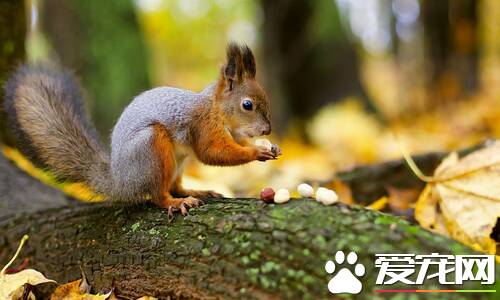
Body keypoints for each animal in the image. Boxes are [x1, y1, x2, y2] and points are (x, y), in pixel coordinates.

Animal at [1, 42, 280, 219]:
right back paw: (176, 202)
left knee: (174, 185)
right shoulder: (203, 125)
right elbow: (212, 153)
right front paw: (257, 152)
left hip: (177, 162)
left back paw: (194, 191)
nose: (267, 130)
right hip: (151, 149)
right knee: (158, 195)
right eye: (247, 105)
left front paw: (269, 148)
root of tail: (119, 181)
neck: (218, 111)